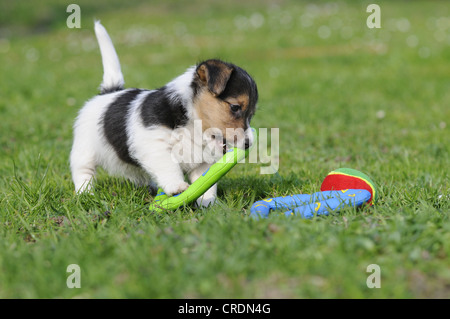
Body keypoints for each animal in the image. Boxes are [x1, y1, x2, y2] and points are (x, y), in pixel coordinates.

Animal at [71, 22, 260, 208]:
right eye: (235, 107)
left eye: (251, 114)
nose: (248, 144)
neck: (192, 124)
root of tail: (109, 92)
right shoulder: (155, 144)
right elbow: (168, 166)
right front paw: (177, 187)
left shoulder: (202, 162)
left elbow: (206, 184)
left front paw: (208, 203)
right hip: (84, 150)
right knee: (83, 171)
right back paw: (85, 194)